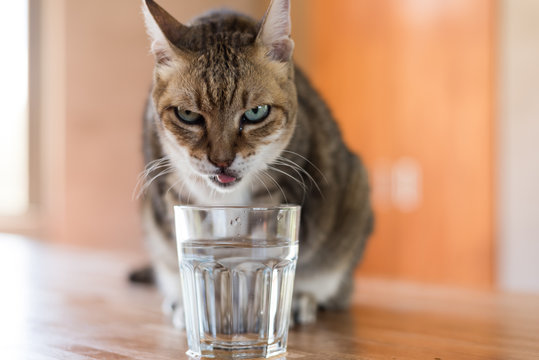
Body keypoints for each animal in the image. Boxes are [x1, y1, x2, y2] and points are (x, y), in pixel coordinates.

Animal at [138, 0, 376, 328]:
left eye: (256, 113)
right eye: (188, 115)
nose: (221, 160)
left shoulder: (281, 196)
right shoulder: (173, 195)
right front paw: (206, 309)